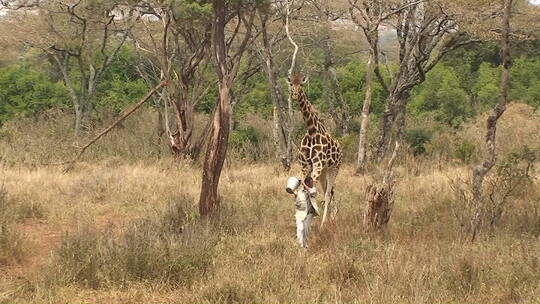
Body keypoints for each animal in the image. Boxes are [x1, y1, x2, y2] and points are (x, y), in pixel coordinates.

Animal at [286, 74, 342, 228]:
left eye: (301, 84)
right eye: (291, 84)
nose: (294, 94)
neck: (311, 131)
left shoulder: (317, 165)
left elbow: (310, 191)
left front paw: (311, 220)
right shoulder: (305, 165)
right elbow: (301, 190)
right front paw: (302, 219)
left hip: (333, 168)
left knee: (328, 193)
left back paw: (324, 223)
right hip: (324, 171)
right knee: (328, 191)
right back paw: (332, 217)